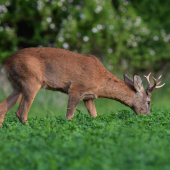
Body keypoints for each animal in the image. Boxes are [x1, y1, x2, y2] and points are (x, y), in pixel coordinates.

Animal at [0, 47, 165, 125]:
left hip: (17, 86)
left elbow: (95, 116)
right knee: (21, 113)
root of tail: (6, 62)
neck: (100, 80)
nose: (148, 117)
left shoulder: (89, 97)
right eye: (149, 102)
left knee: (3, 107)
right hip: (31, 81)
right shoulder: (75, 89)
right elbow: (69, 117)